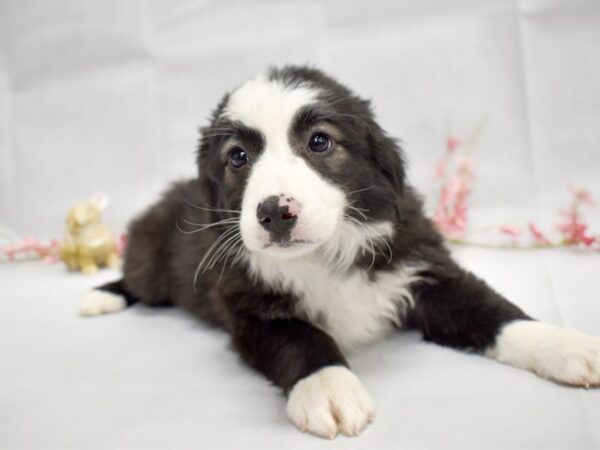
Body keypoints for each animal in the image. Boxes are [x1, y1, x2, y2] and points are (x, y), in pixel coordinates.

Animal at [81, 67, 600, 440]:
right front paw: (327, 388)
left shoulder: (422, 268)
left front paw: (566, 345)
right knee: (138, 281)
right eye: (237, 157)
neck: (325, 253)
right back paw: (102, 294)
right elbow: (301, 338)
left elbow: (494, 311)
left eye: (319, 141)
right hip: (149, 256)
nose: (274, 212)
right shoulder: (249, 307)